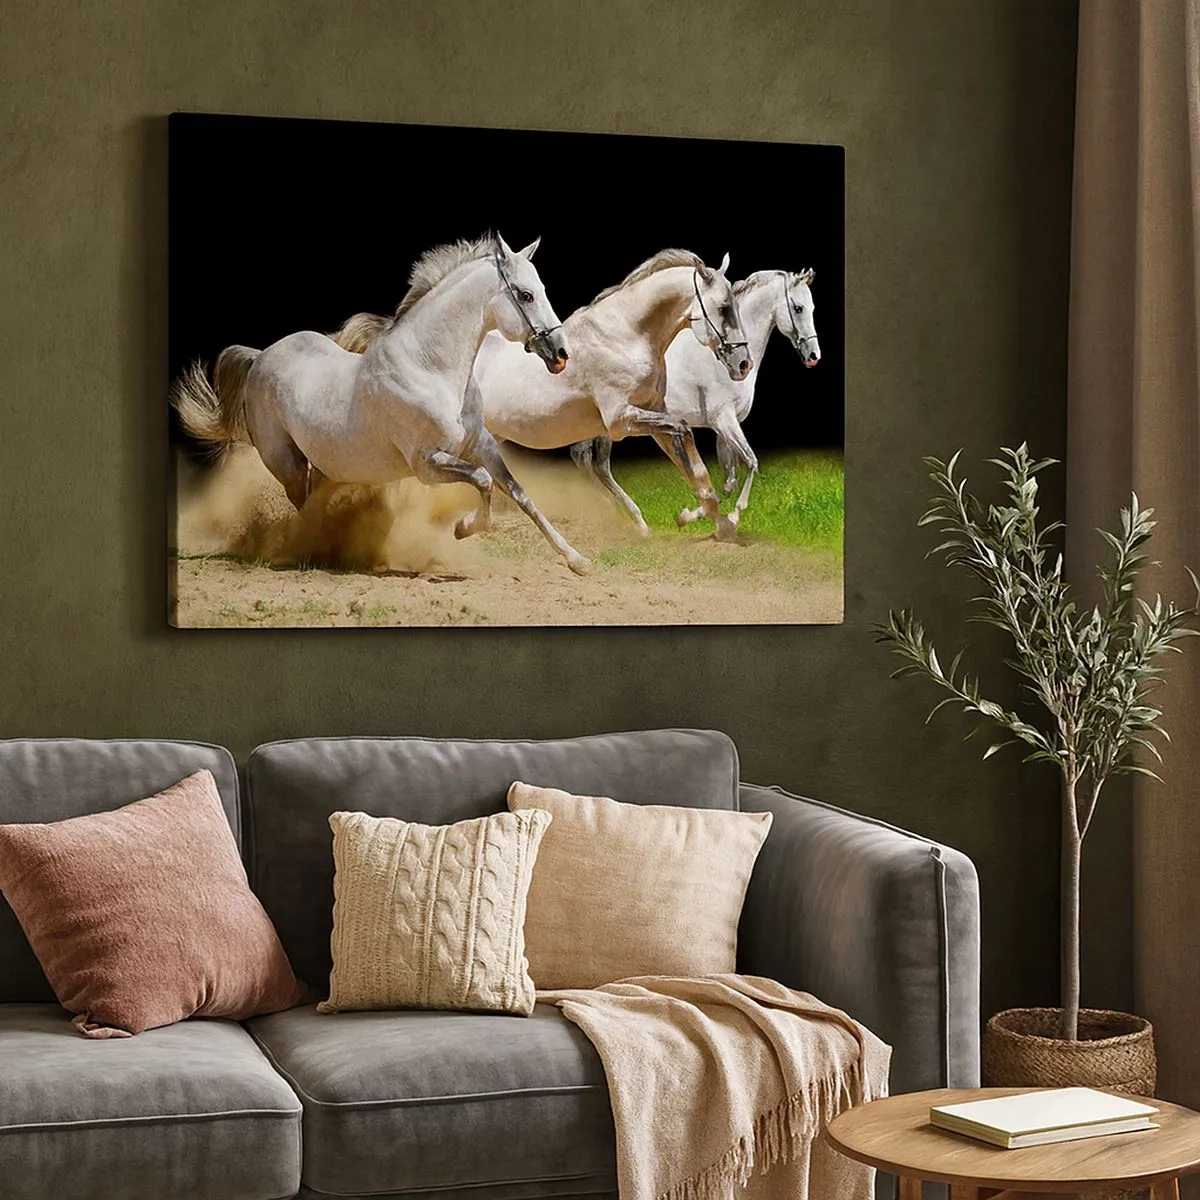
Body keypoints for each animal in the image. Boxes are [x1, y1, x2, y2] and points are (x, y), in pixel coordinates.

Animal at [171, 233, 593, 575]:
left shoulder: (482, 446)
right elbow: (484, 482)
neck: (431, 368)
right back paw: (308, 552)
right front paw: (461, 529)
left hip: (325, 463)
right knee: (301, 505)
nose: (560, 353)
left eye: (540, 288)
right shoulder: (427, 463)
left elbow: (520, 494)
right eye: (525, 294)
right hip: (286, 462)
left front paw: (577, 560)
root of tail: (260, 357)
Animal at [572, 268, 819, 533]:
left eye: (812, 307)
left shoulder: (723, 427)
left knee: (589, 463)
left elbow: (728, 480)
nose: (813, 356)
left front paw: (693, 515)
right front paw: (731, 517)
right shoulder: (724, 420)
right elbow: (750, 462)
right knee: (595, 465)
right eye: (798, 308)